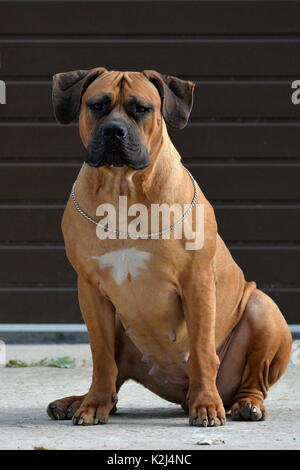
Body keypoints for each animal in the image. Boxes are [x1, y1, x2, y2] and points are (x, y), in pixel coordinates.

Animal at [47, 69, 290, 426]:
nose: (113, 130)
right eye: (97, 105)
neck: (123, 190)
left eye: (141, 108)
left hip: (263, 310)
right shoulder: (91, 289)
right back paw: (79, 401)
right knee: (114, 375)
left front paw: (207, 406)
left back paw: (244, 404)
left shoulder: (197, 282)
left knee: (254, 378)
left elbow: (202, 351)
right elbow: (101, 356)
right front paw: (93, 405)